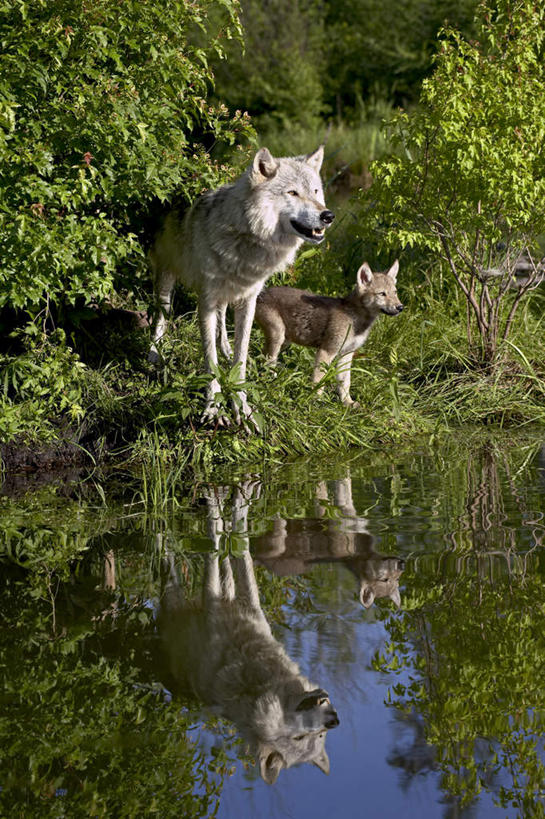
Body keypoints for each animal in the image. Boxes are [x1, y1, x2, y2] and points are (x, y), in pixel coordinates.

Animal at [150, 147, 336, 426]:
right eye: (292, 193)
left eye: (315, 192)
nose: (328, 215)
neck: (247, 238)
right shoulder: (206, 300)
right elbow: (210, 360)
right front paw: (213, 407)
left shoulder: (248, 299)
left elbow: (242, 355)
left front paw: (241, 403)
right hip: (167, 276)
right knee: (161, 314)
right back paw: (154, 351)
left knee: (221, 317)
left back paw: (225, 347)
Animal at [156, 484, 340, 784]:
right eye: (299, 737)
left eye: (319, 736)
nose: (334, 720)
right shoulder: (218, 606)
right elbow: (222, 545)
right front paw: (224, 506)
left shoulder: (244, 606)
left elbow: (235, 549)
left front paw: (233, 506)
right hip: (174, 595)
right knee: (171, 564)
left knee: (224, 571)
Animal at [254, 260, 400, 406]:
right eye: (382, 294)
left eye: (395, 293)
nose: (400, 307)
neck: (356, 321)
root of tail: (262, 293)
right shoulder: (327, 351)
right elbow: (319, 381)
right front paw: (314, 401)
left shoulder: (346, 354)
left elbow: (345, 383)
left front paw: (348, 403)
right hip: (278, 336)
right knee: (269, 362)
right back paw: (270, 382)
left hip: (285, 341)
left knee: (262, 357)